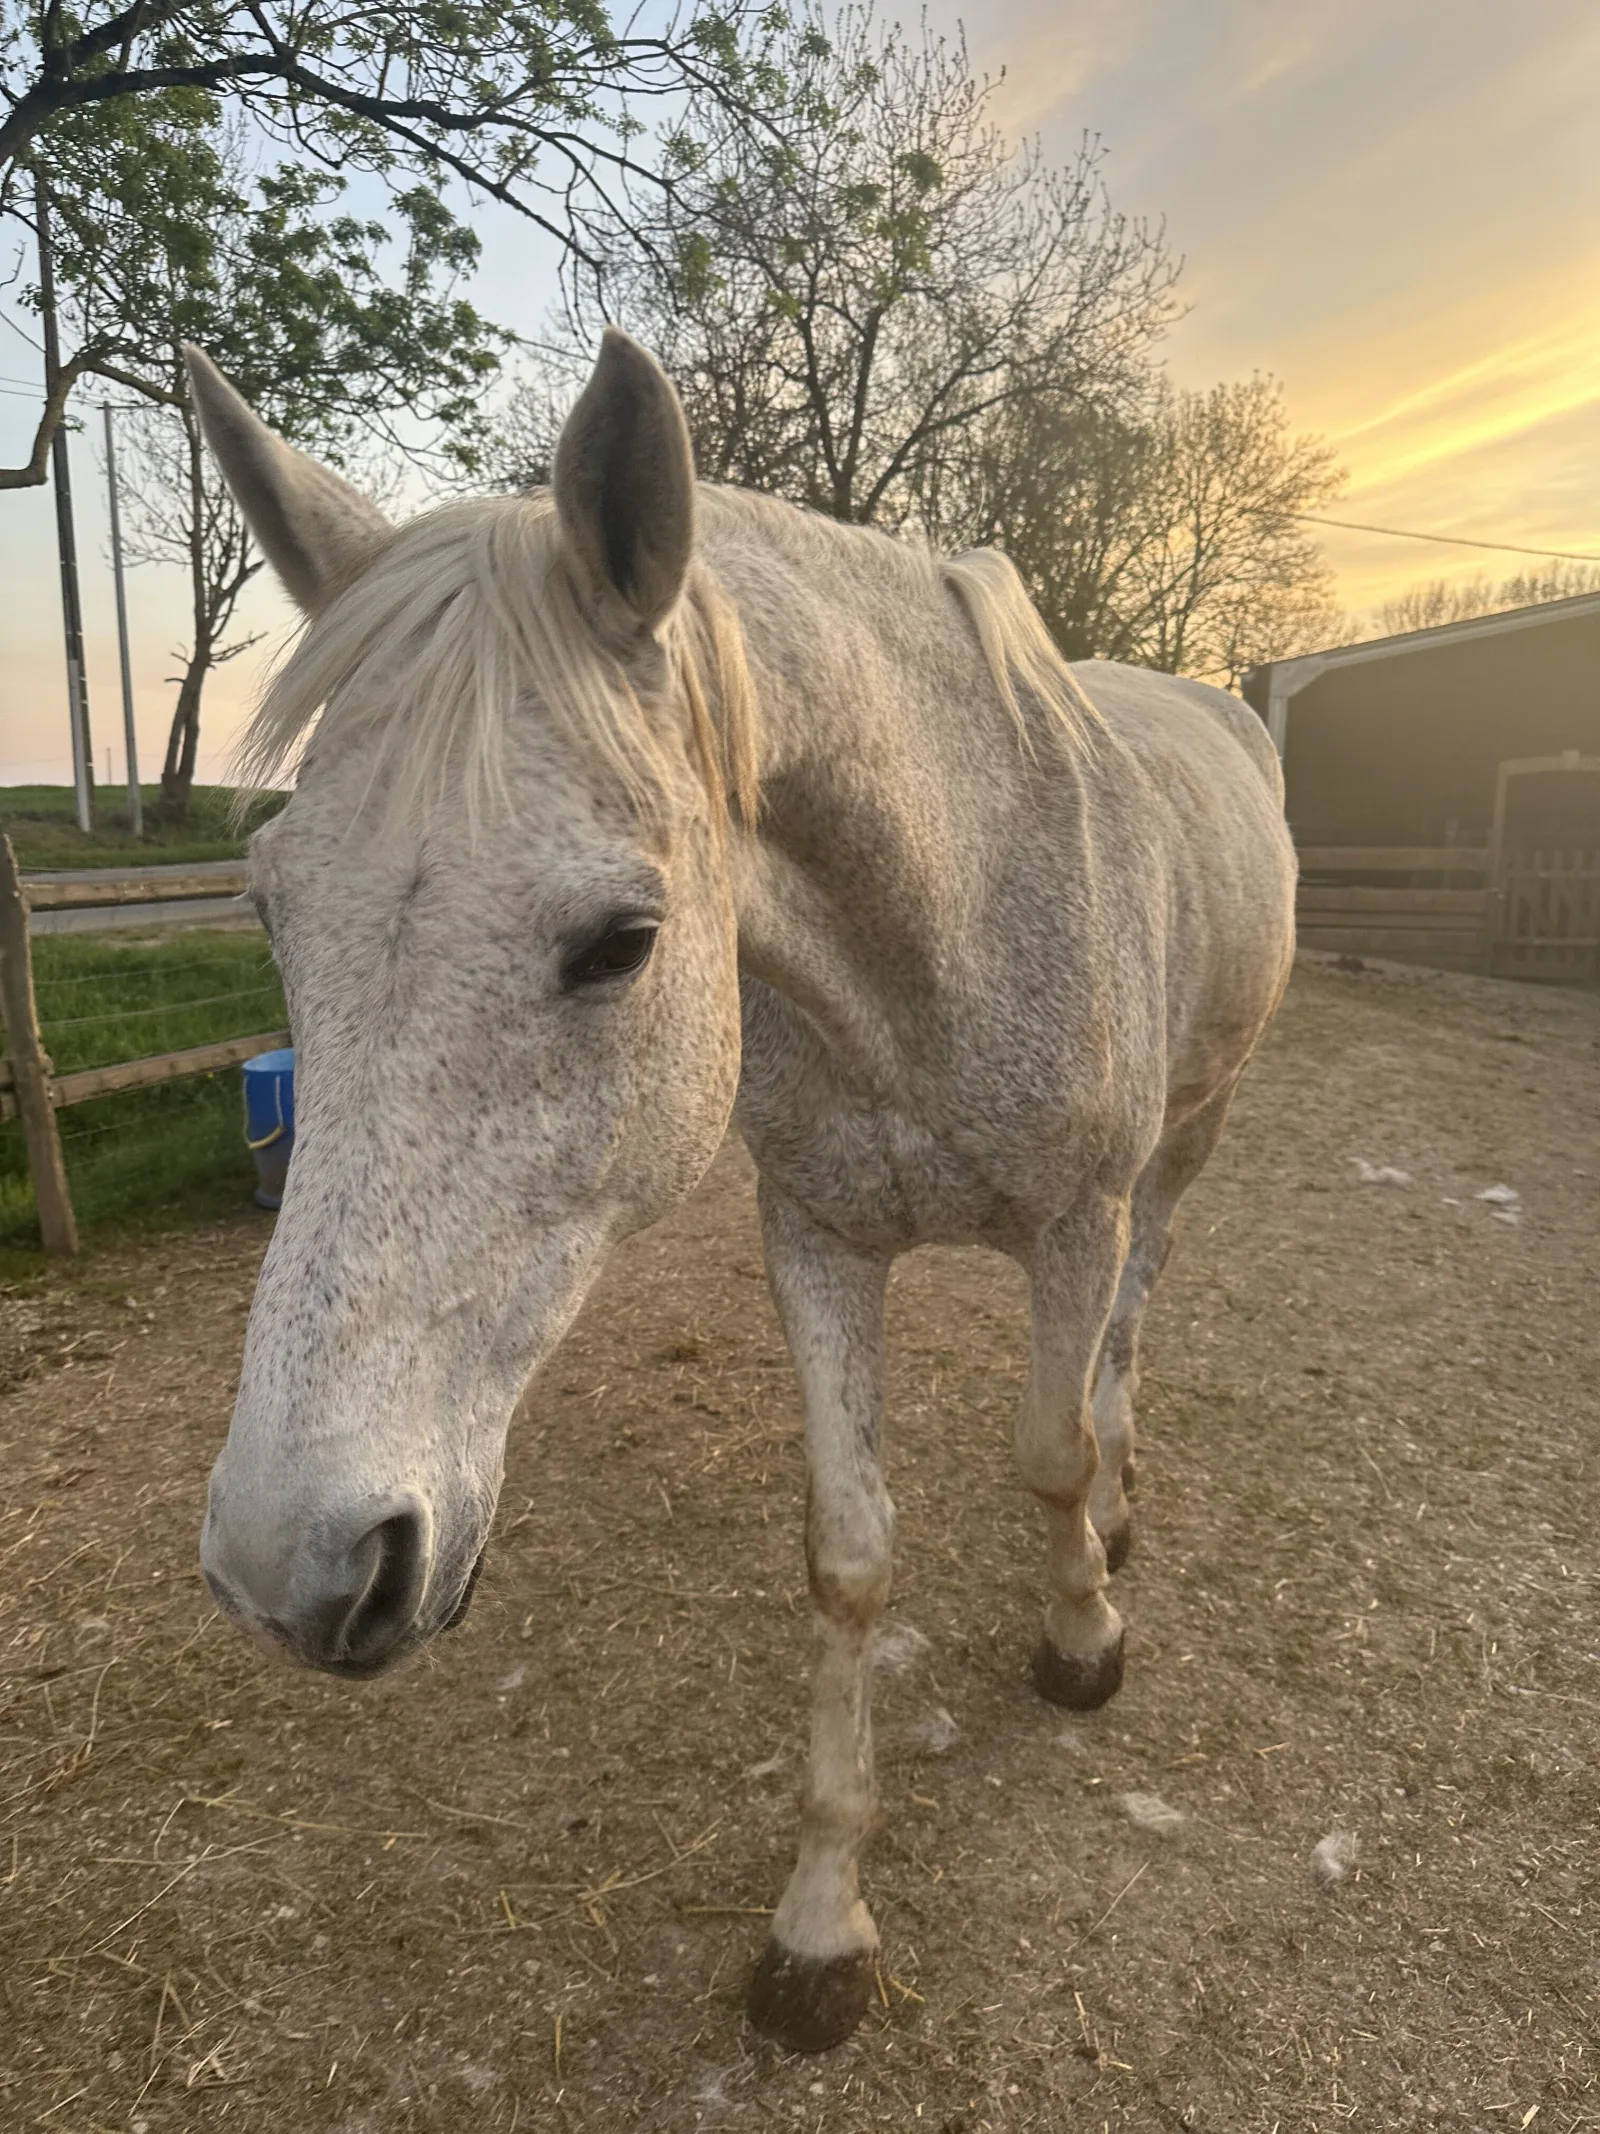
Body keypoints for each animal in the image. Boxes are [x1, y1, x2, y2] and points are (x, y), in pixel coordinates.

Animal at [186, 328, 1295, 2053]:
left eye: (622, 940)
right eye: (269, 907)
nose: (286, 1561)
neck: (943, 920)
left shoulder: (1074, 1224)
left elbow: (1048, 1449)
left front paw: (1082, 1634)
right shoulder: (819, 1239)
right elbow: (848, 1555)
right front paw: (822, 1922)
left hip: (1187, 1141)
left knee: (1132, 1322)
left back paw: (1122, 1508)